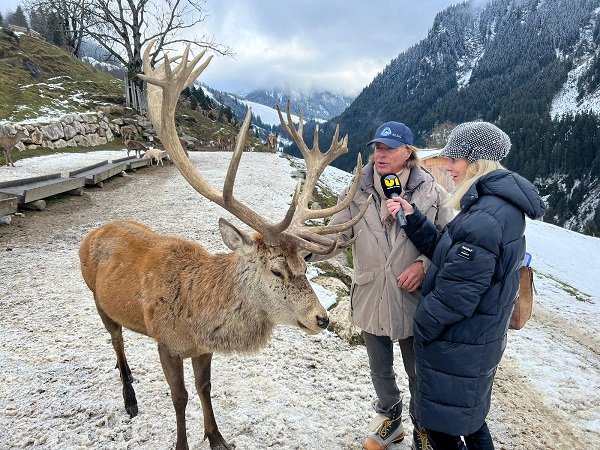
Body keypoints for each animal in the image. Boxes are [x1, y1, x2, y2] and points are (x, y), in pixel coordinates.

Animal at [80, 38, 370, 450]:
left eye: (306, 266)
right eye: (276, 270)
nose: (322, 319)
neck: (198, 315)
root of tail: (93, 233)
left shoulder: (203, 349)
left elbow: (205, 389)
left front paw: (217, 438)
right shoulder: (166, 343)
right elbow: (180, 397)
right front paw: (182, 443)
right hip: (98, 300)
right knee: (116, 341)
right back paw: (129, 399)